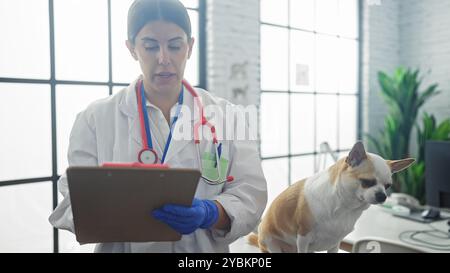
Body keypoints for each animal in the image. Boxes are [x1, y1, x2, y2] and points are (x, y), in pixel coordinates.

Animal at [250, 141, 414, 252]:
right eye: (367, 182)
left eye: (388, 186)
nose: (382, 196)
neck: (345, 207)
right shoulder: (303, 238)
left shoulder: (335, 243)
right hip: (270, 242)